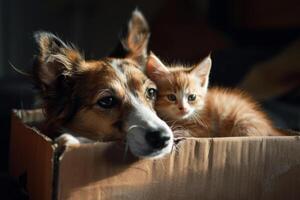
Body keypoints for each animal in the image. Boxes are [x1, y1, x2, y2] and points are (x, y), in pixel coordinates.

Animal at [146, 52, 284, 138]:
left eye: (192, 97)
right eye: (171, 97)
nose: (183, 108)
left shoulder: (208, 129)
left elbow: (196, 132)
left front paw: (179, 132)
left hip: (243, 123)